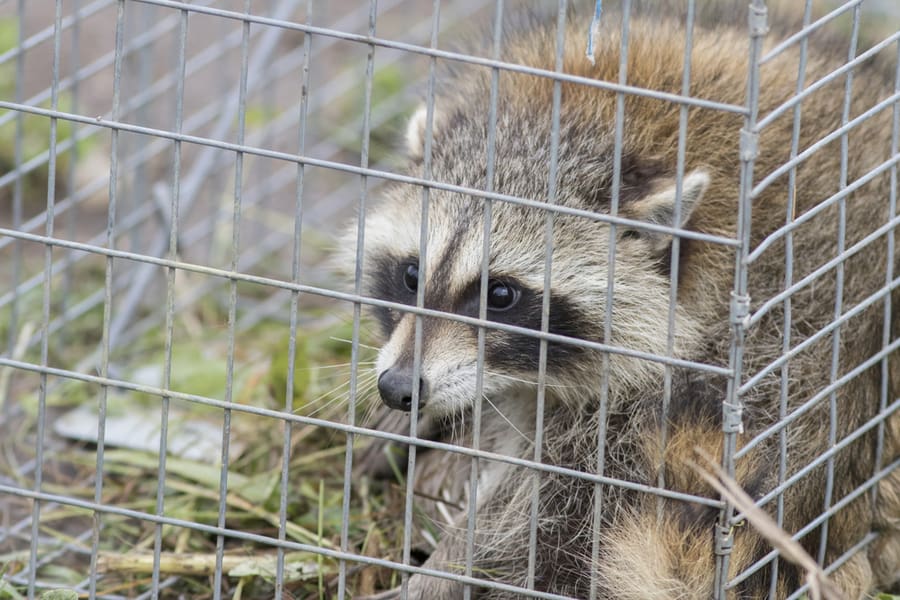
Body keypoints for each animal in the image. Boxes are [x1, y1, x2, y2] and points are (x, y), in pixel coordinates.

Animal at [346, 2, 900, 596]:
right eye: (410, 274)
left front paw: (451, 561)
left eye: (500, 294)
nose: (398, 389)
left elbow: (559, 498)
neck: (591, 110)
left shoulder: (777, 325)